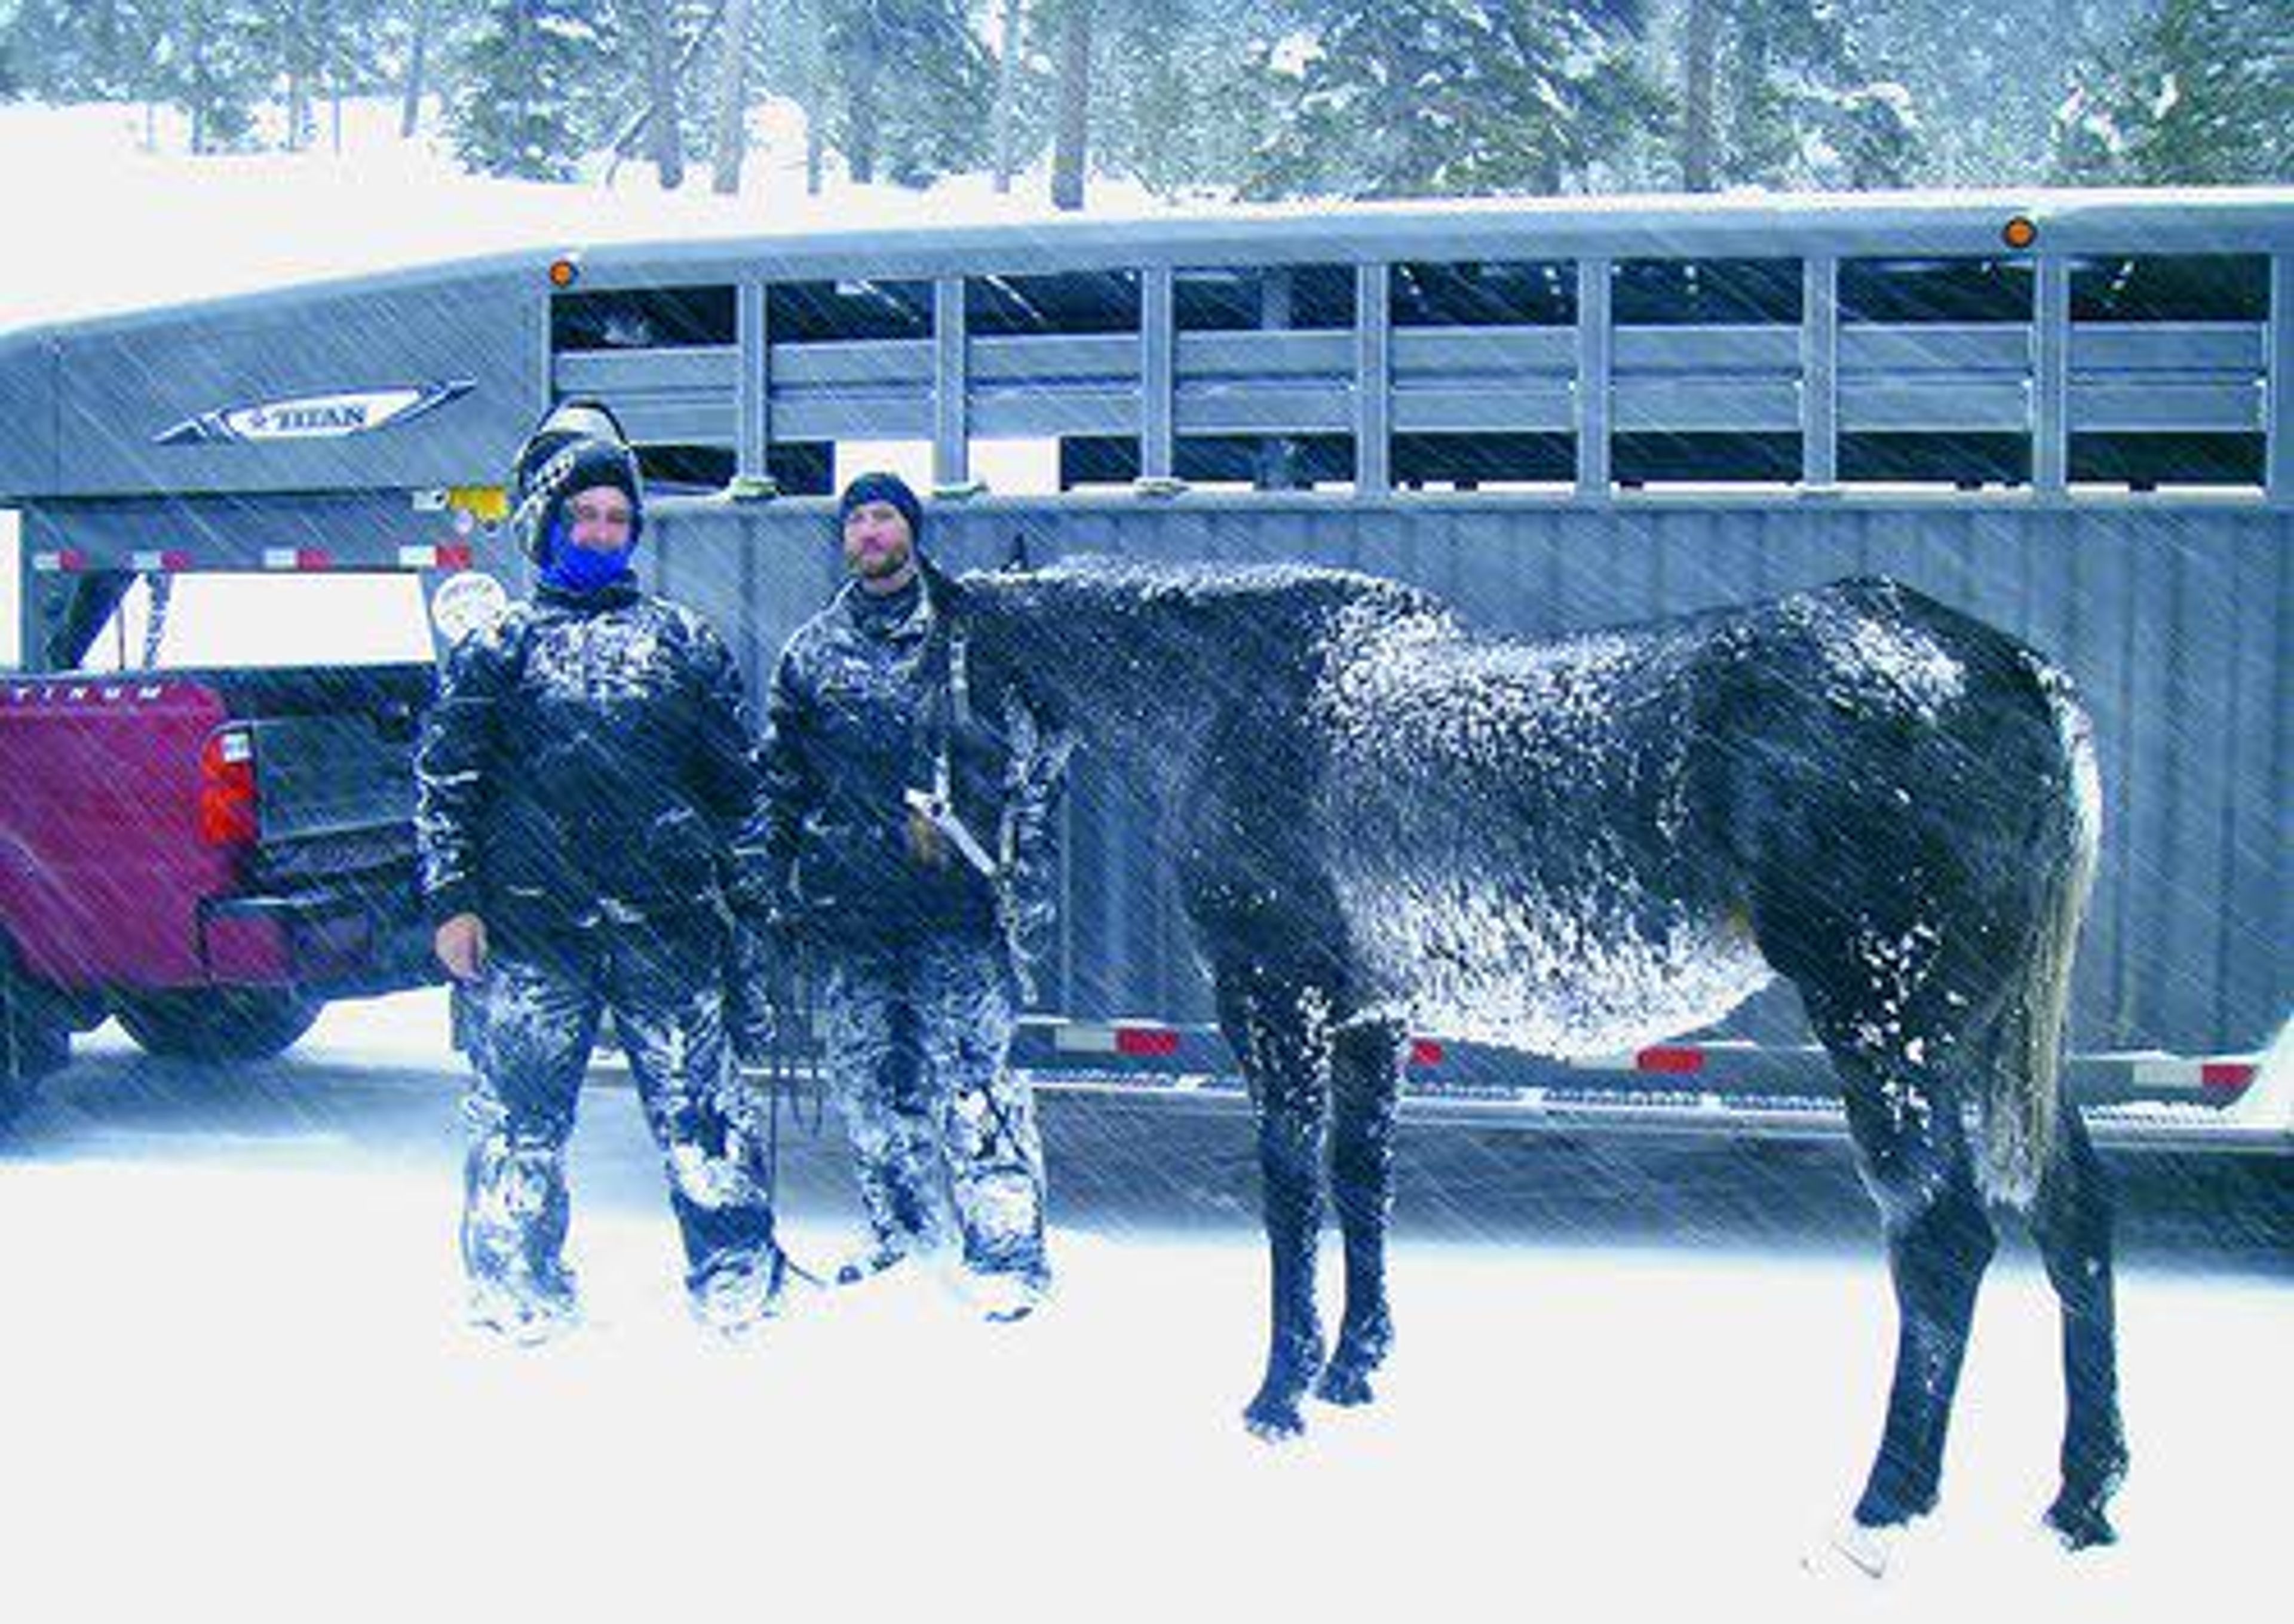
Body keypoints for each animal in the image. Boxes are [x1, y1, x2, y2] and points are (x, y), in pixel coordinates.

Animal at [945, 558, 2124, 1554]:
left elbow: (1291, 1193)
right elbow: (1361, 1180)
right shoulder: (1373, 1019)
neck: (1239, 699)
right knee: (2073, 1215)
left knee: (1942, 1241)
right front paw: (1354, 1366)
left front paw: (1279, 1393)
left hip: (1891, 1029)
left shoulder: (1277, 1006)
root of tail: (2012, 672)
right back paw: (2082, 1493)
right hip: (1992, 1033)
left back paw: (1886, 1499)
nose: (1004, 888)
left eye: (929, 675)